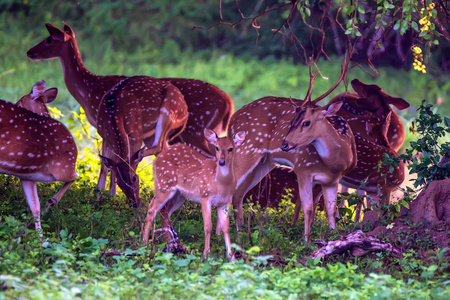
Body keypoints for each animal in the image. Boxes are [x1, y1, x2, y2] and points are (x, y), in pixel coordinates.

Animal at [26, 22, 234, 206]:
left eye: (49, 39)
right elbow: (108, 163)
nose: (29, 52)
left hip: (194, 131)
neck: (90, 91)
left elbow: (110, 163)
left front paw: (107, 195)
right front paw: (104, 194)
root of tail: (229, 103)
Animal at [142, 128, 246, 258]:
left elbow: (226, 227)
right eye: (216, 147)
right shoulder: (204, 196)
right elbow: (208, 226)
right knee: (151, 209)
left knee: (164, 211)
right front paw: (206, 254)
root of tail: (157, 158)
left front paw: (230, 255)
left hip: (179, 195)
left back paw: (170, 244)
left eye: (231, 148)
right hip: (163, 185)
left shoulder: (225, 201)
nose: (221, 161)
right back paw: (144, 245)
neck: (220, 185)